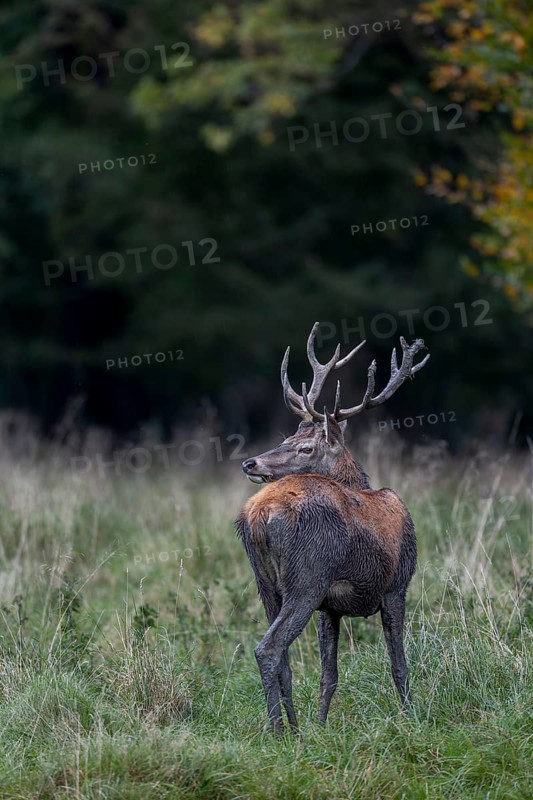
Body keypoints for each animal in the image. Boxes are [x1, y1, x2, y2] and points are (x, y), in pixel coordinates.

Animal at [236, 322, 430, 733]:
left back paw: (296, 729)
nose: (250, 463)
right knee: (268, 648)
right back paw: (278, 731)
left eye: (304, 447)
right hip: (307, 576)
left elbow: (330, 674)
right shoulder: (397, 584)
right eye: (288, 438)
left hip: (267, 583)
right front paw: (413, 718)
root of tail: (259, 515)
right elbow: (400, 665)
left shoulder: (330, 608)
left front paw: (322, 724)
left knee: (283, 656)